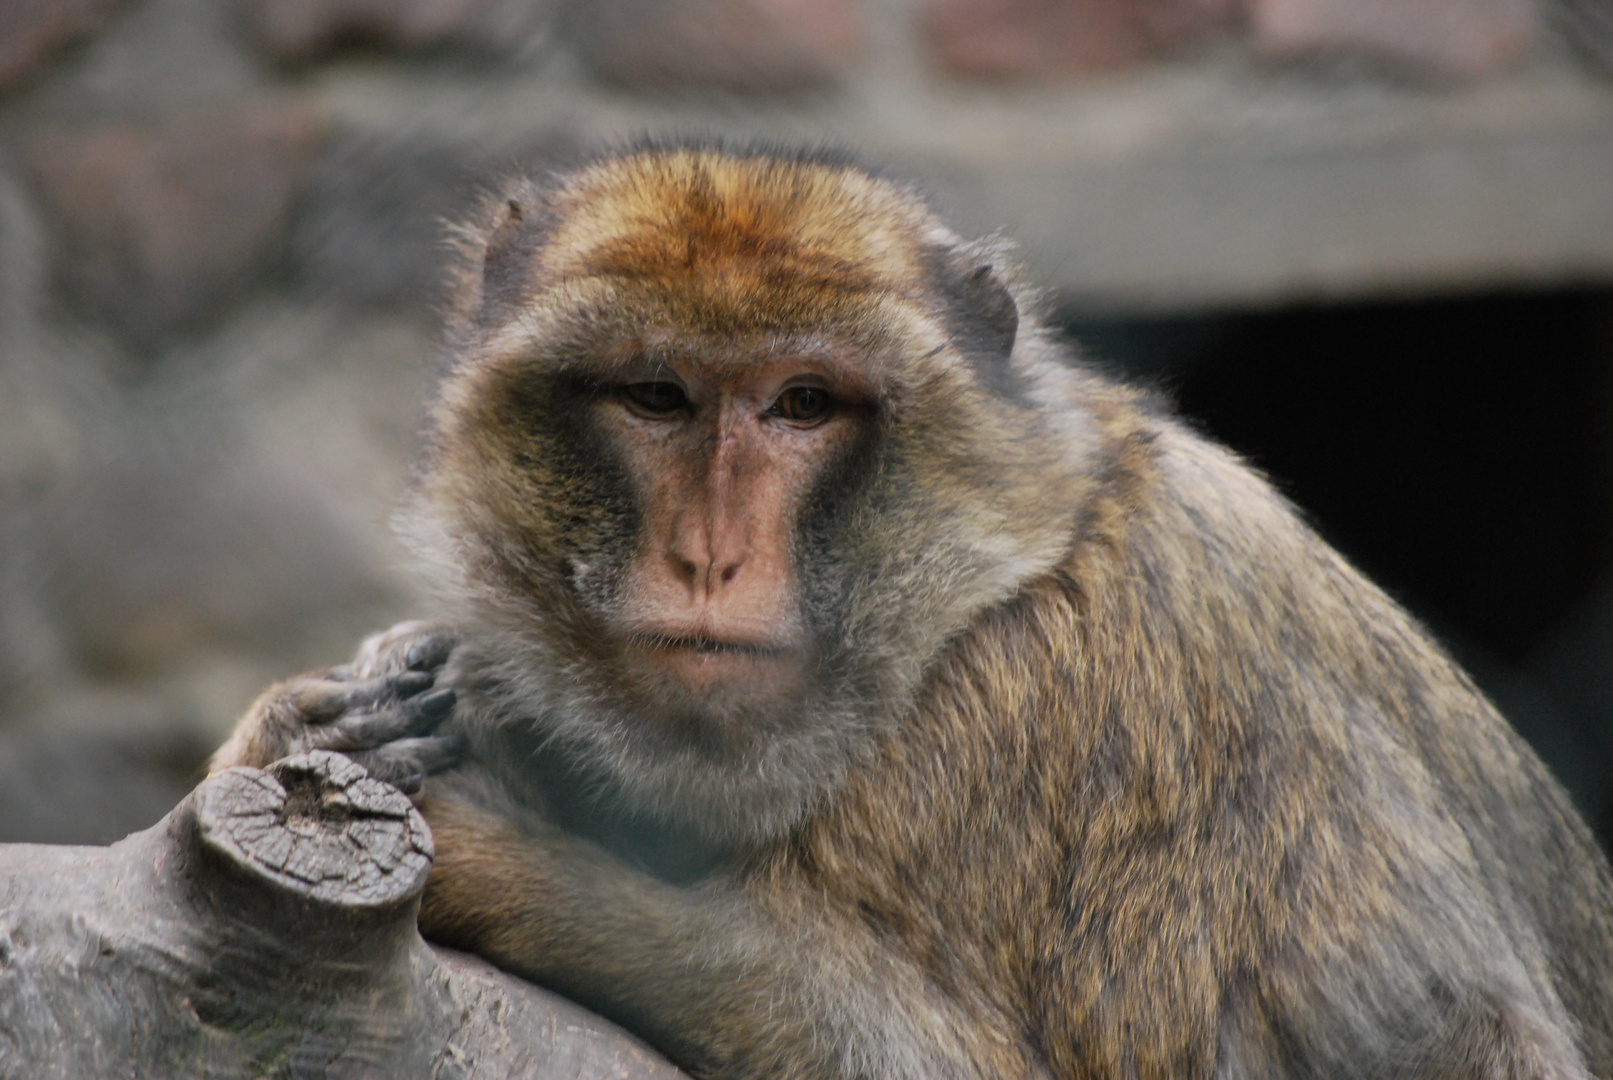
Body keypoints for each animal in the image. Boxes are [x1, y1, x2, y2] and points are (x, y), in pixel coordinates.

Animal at [211, 143, 1613, 1080]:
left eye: (802, 405)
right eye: (656, 396)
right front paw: (327, 719)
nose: (709, 555)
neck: (969, 605)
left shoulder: (1075, 699)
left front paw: (506, 855)